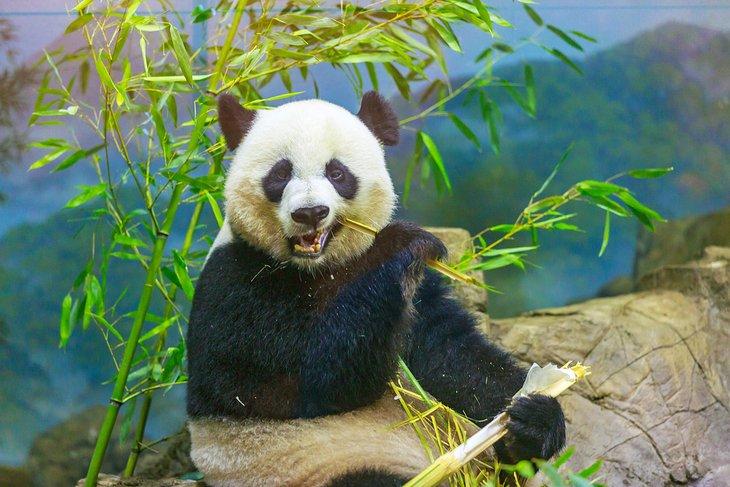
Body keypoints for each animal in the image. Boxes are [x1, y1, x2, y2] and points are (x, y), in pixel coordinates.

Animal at [186, 91, 566, 486]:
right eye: (280, 174)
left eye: (337, 173)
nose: (310, 213)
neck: (318, 268)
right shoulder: (236, 282)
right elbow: (302, 381)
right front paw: (403, 242)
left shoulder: (414, 292)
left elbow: (451, 355)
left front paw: (536, 416)